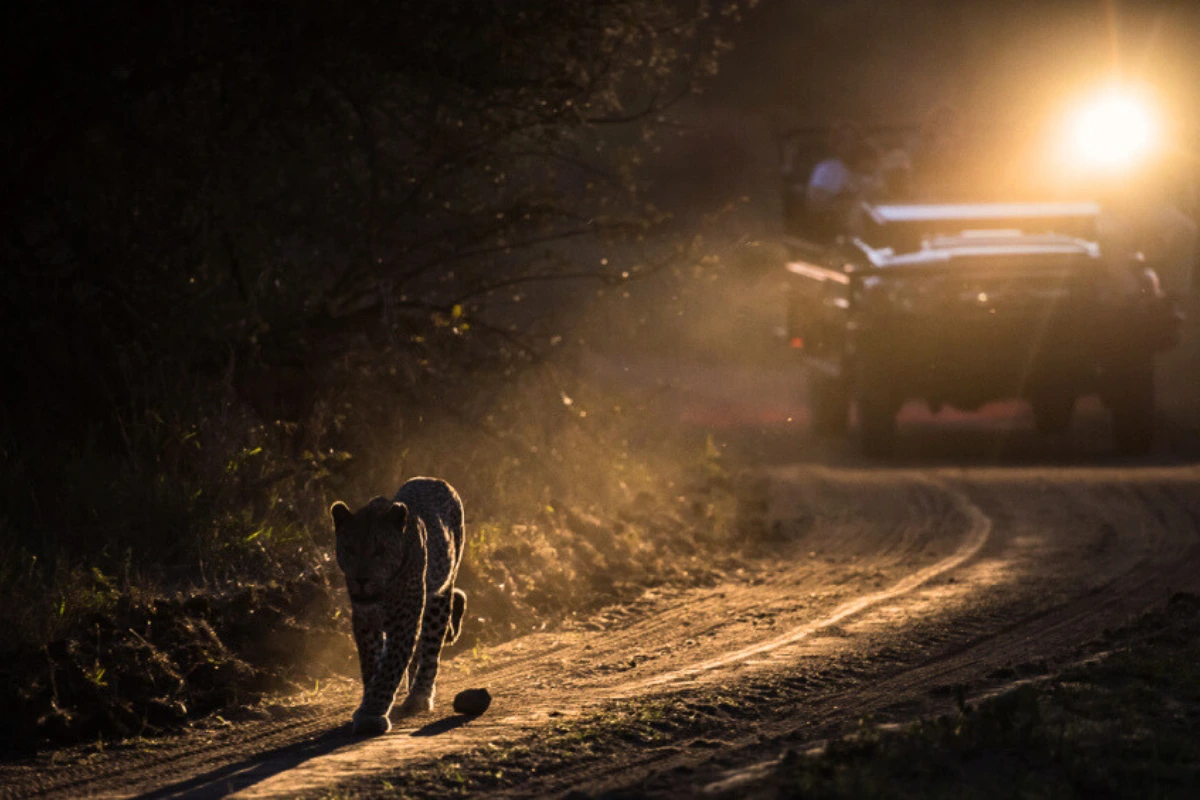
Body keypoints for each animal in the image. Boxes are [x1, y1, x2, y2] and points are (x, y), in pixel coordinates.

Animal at [330, 477, 467, 735]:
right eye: (349, 549)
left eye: (380, 551)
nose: (361, 580)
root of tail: (433, 479)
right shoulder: (364, 622)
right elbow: (372, 663)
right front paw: (372, 701)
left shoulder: (404, 620)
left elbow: (390, 666)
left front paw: (371, 715)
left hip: (440, 594)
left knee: (431, 648)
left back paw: (419, 695)